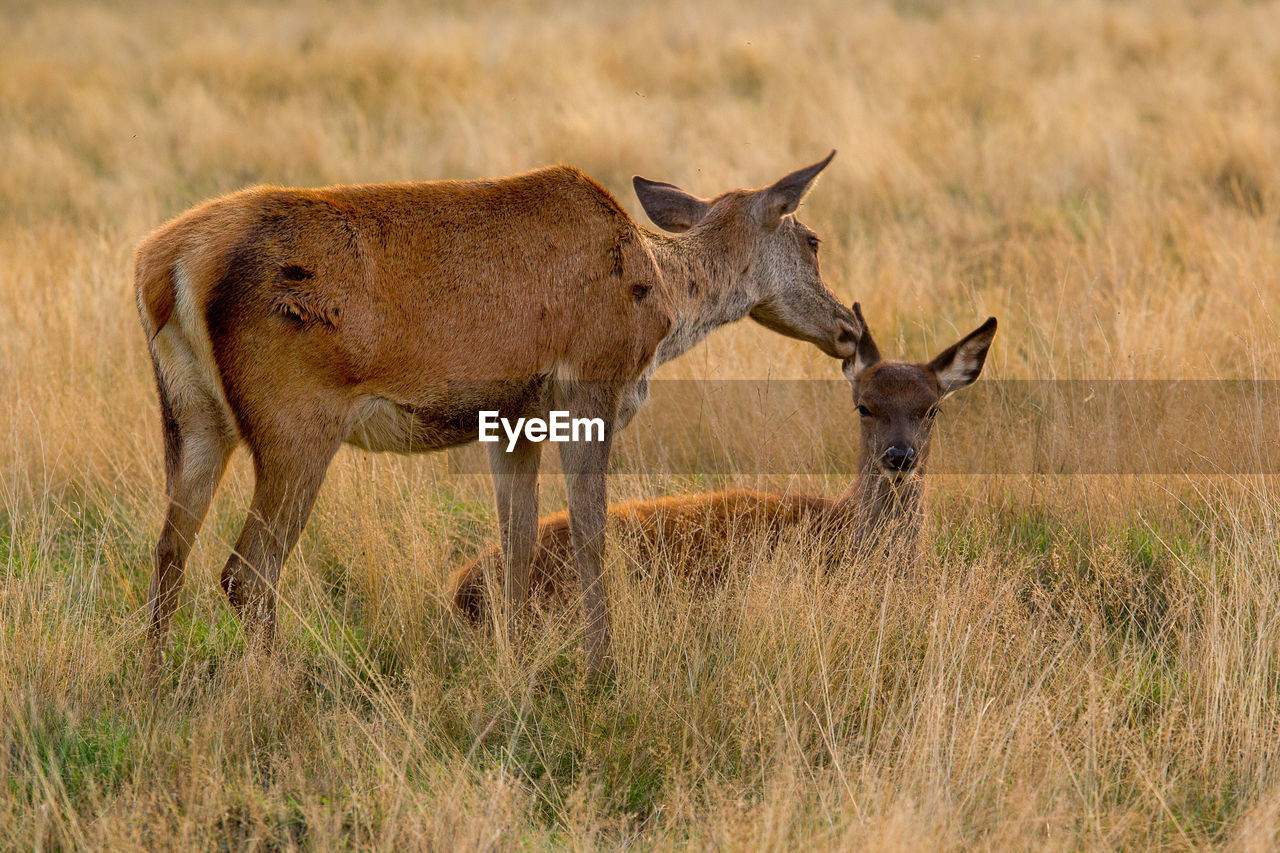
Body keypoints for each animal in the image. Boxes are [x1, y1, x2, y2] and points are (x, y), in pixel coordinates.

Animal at [137, 154, 860, 671]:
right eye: (813, 240)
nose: (850, 328)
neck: (662, 303)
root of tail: (168, 264)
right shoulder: (588, 384)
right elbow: (590, 533)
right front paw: (603, 668)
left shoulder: (513, 416)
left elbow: (518, 541)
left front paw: (516, 663)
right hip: (295, 418)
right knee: (247, 570)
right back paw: (275, 686)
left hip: (191, 415)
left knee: (171, 548)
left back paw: (154, 684)